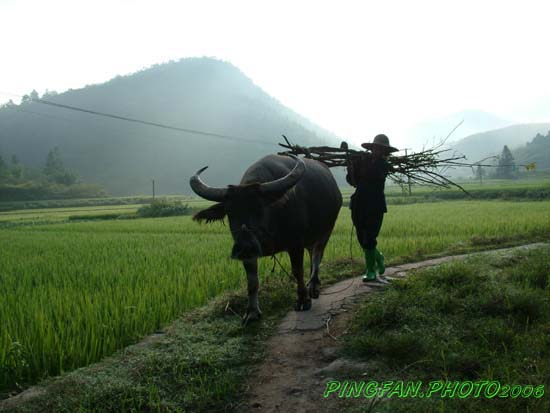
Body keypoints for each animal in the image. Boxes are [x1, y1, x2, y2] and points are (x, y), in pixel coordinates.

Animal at [192, 153, 342, 324]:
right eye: (230, 211)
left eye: (259, 208)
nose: (245, 246)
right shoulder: (249, 255)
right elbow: (252, 282)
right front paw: (252, 312)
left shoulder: (295, 244)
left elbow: (297, 271)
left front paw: (303, 300)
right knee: (312, 254)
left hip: (326, 231)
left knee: (317, 256)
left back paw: (313, 287)